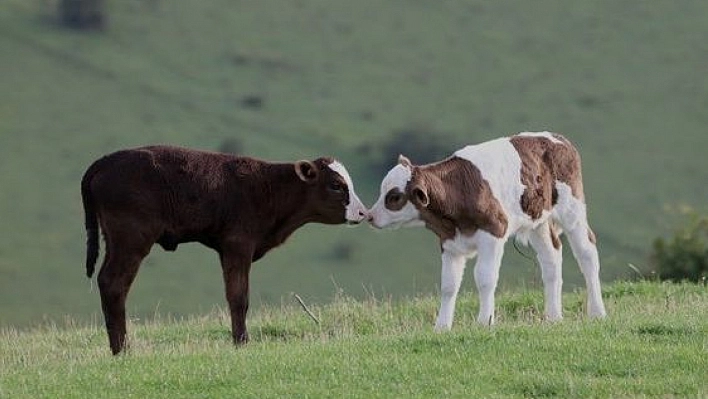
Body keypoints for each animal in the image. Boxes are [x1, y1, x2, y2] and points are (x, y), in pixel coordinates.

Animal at [81, 145, 366, 354]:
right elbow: (238, 297)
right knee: (113, 283)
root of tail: (105, 162)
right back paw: (122, 350)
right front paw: (242, 342)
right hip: (131, 240)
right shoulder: (237, 245)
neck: (269, 187)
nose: (363, 212)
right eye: (336, 185)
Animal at [368, 133, 604, 330]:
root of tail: (558, 139)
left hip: (572, 210)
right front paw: (441, 327)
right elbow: (449, 285)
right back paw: (553, 317)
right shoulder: (449, 243)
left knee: (587, 254)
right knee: (551, 259)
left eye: (394, 197)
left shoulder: (494, 231)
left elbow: (485, 278)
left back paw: (597, 312)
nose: (369, 216)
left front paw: (484, 322)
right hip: (539, 222)